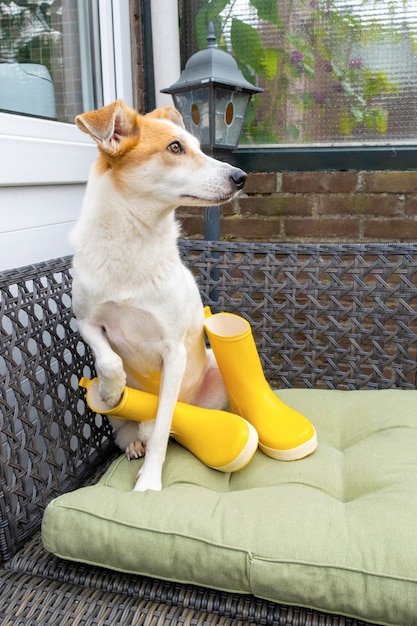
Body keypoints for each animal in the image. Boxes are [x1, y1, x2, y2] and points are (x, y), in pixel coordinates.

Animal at [70, 98, 247, 488]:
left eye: (198, 146)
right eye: (175, 148)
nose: (240, 177)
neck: (133, 244)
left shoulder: (173, 352)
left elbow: (165, 425)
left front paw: (149, 482)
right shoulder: (86, 320)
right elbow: (109, 359)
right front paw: (111, 389)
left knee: (173, 423)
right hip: (118, 417)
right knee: (126, 430)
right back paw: (132, 439)